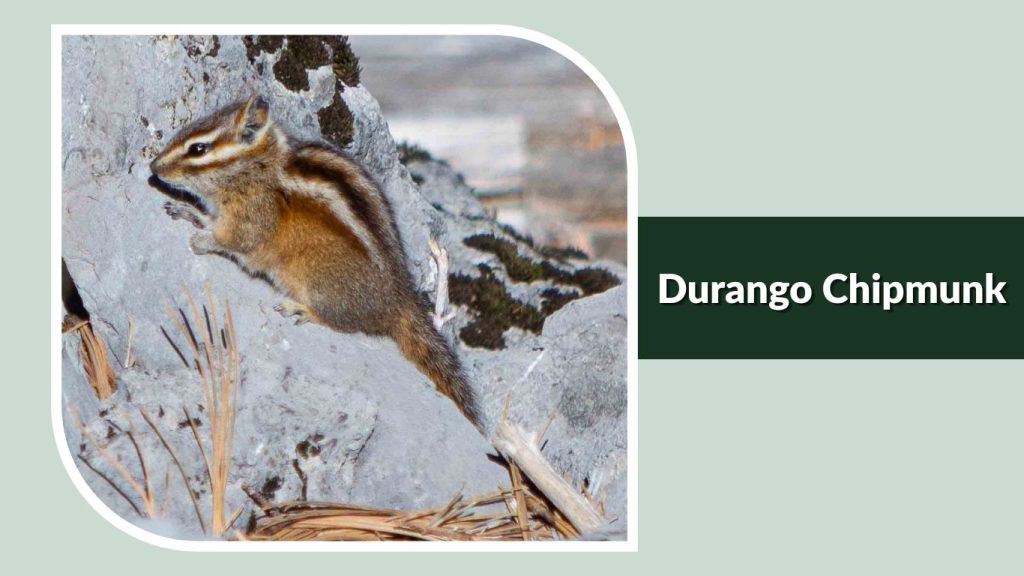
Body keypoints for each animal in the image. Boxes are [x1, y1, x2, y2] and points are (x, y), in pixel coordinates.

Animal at [148, 94, 481, 427]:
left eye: (198, 149)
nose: (153, 166)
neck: (258, 166)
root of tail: (400, 299)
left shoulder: (251, 215)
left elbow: (232, 239)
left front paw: (202, 238)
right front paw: (189, 211)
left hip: (322, 287)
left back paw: (302, 309)